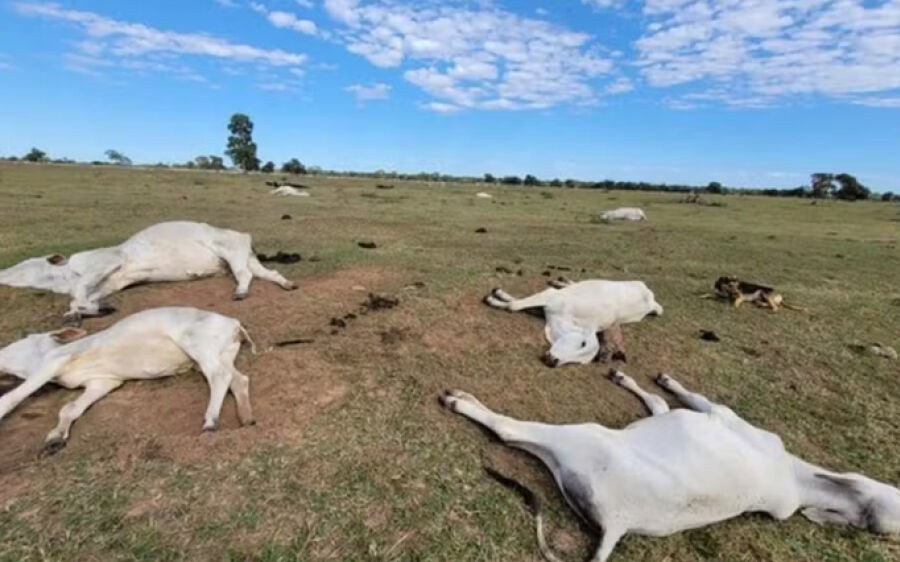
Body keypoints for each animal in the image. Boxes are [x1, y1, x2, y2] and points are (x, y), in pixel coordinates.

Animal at [0, 221, 297, 324]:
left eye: (26, 265)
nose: (3, 272)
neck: (67, 274)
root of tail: (244, 236)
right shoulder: (111, 282)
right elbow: (84, 298)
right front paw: (85, 312)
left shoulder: (108, 261)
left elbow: (80, 293)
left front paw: (83, 311)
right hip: (245, 257)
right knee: (268, 273)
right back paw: (287, 284)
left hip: (231, 252)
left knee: (245, 276)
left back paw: (240, 292)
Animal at [0, 307, 257, 454]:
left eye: (20, 341)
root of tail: (234, 323)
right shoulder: (103, 382)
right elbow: (70, 408)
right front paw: (55, 438)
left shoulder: (55, 362)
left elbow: (13, 397)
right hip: (223, 353)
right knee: (238, 379)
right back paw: (246, 417)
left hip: (197, 343)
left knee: (219, 376)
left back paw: (211, 421)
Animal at [441, 371, 900, 562]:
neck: (796, 477)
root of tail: (618, 524)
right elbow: (659, 402)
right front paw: (631, 379)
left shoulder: (717, 413)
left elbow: (683, 397)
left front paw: (662, 380)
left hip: (581, 437)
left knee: (509, 430)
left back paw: (461, 400)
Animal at [483, 279, 662, 367]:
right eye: (583, 343)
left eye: (580, 362)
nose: (553, 361)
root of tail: (651, 300)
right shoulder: (551, 296)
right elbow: (514, 305)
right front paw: (494, 297)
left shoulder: (545, 308)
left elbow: (516, 304)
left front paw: (497, 297)